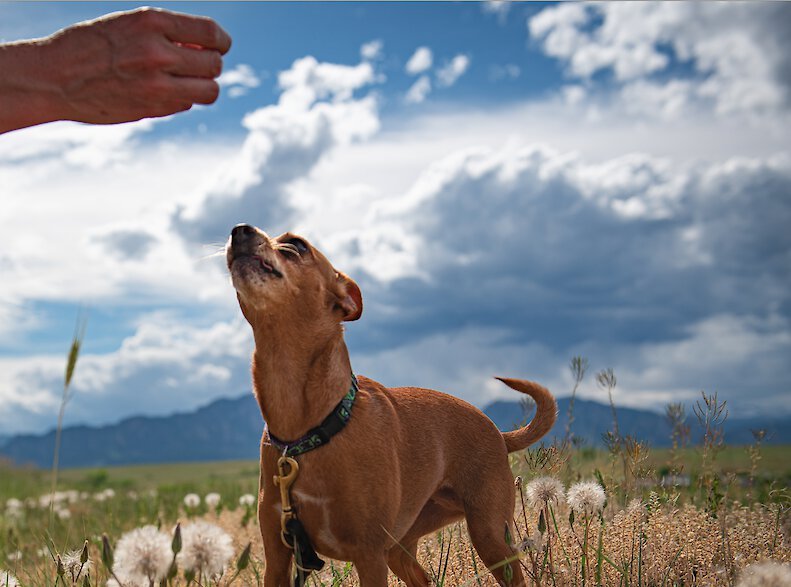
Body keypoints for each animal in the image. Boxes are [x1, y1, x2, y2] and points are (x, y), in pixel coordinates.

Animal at [226, 223, 560, 584]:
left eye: (297, 245)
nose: (239, 230)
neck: (309, 428)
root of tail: (498, 433)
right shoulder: (278, 556)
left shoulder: (368, 555)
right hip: (401, 546)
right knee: (424, 578)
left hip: (490, 535)